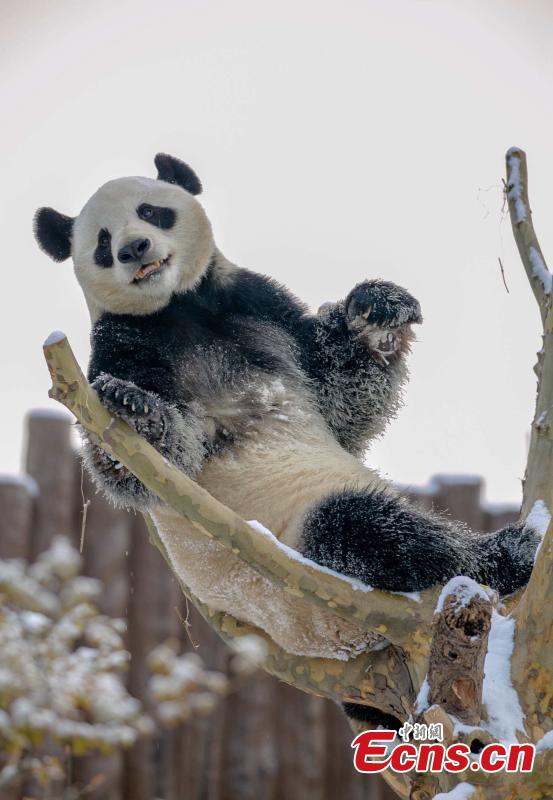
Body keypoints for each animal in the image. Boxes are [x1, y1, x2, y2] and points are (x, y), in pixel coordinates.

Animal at [34, 153, 540, 606]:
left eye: (150, 212)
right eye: (103, 242)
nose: (133, 248)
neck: (180, 305)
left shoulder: (256, 303)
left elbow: (342, 402)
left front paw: (377, 310)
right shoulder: (123, 340)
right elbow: (154, 468)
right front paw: (133, 407)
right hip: (290, 544)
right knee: (366, 530)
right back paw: (508, 553)